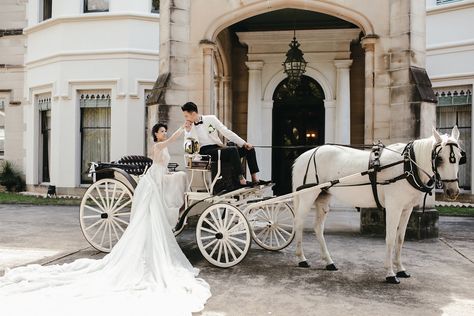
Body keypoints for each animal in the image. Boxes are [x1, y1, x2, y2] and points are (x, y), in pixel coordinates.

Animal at [292, 126, 462, 284]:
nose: (453, 191)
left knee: (318, 228)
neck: (407, 166)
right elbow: (391, 238)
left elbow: (400, 239)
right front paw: (390, 273)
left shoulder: (407, 209)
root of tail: (303, 156)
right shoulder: (394, 207)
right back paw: (301, 258)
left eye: (460, 157)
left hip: (323, 196)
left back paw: (328, 262)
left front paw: (401, 269)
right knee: (299, 223)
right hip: (307, 195)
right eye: (439, 159)